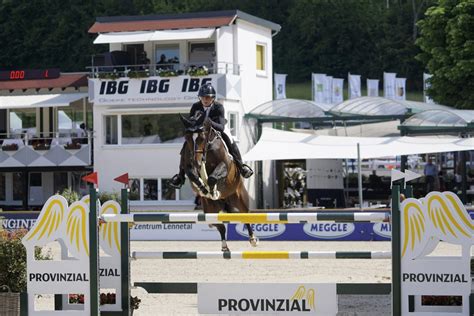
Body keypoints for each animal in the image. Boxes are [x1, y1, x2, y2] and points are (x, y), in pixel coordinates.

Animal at [179, 114, 260, 252]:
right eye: (187, 138)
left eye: (202, 137)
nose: (196, 162)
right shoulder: (188, 165)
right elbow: (193, 175)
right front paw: (203, 189)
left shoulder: (224, 165)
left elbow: (212, 177)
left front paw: (213, 190)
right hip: (209, 210)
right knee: (219, 226)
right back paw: (224, 247)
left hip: (240, 199)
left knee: (245, 216)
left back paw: (253, 239)